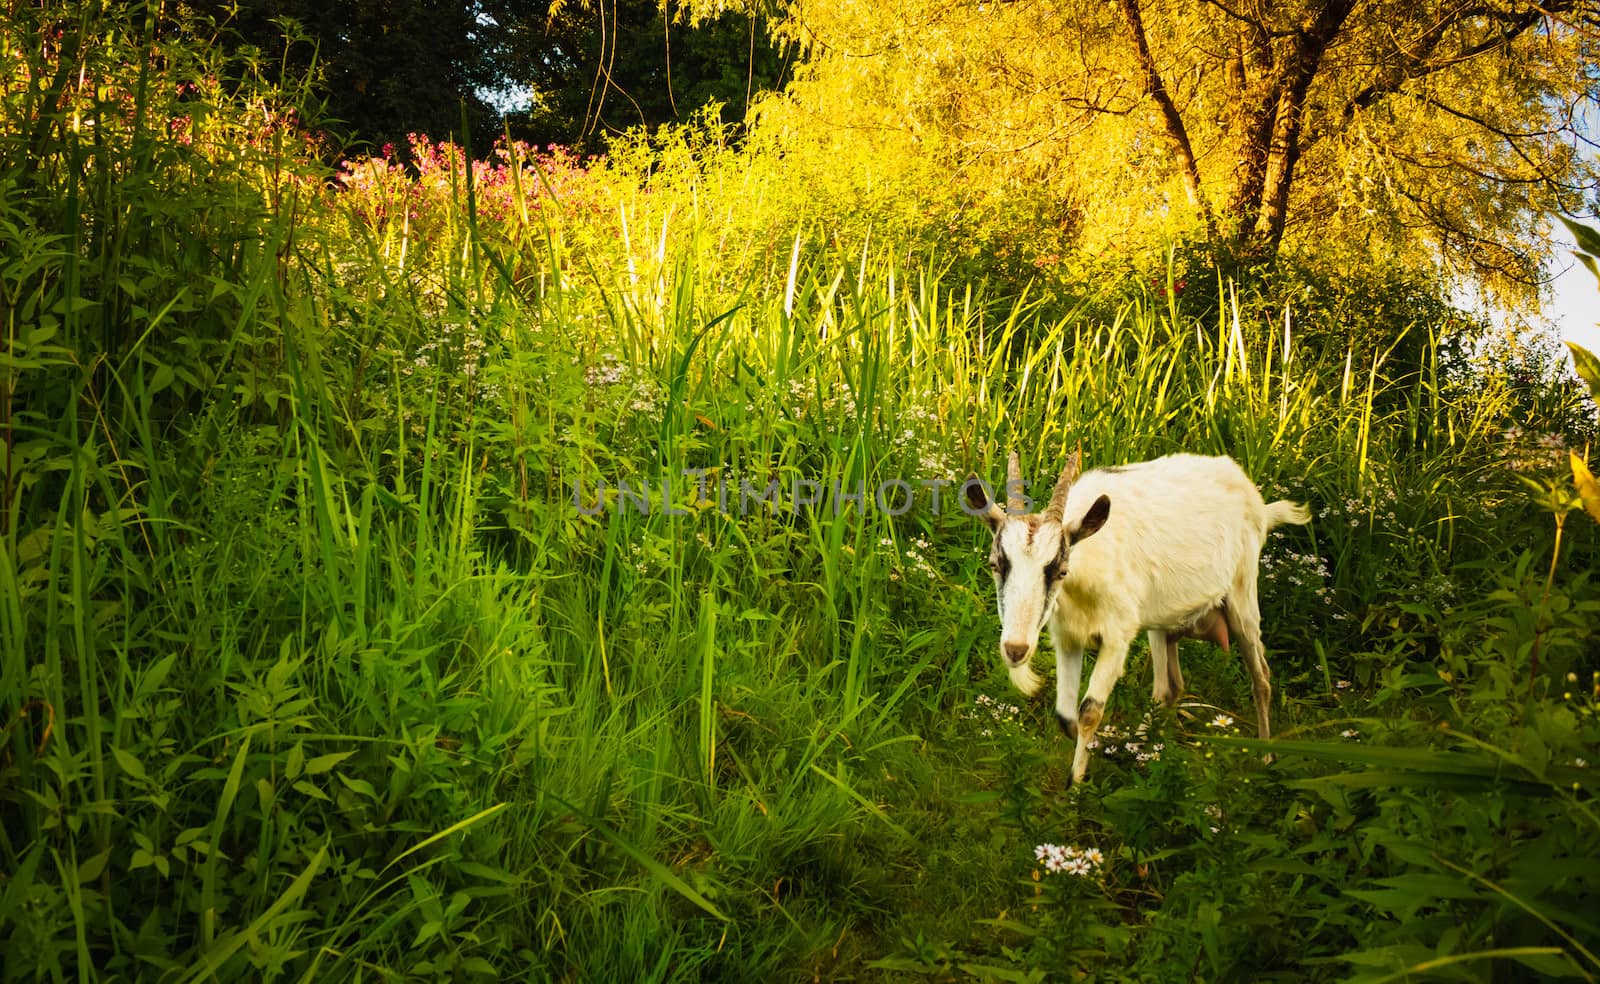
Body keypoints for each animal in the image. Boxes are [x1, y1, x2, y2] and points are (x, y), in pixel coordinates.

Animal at [966, 451, 1305, 784]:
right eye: (995, 564)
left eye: (1060, 570)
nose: (1015, 650)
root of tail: (1256, 500)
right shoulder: (1067, 638)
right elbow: (1065, 716)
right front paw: (1098, 751)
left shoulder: (1117, 639)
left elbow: (1089, 711)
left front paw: (1075, 785)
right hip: (1162, 623)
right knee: (1169, 689)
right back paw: (1139, 750)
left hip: (1242, 597)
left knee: (1261, 678)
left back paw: (1265, 757)